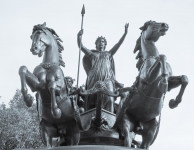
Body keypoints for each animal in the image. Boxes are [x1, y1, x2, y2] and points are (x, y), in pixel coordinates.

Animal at [113, 20, 188, 149]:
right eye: (152, 23)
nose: (165, 25)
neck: (151, 56)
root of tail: (138, 124)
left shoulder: (171, 83)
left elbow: (184, 78)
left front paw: (173, 102)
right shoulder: (147, 78)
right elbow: (162, 57)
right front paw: (163, 83)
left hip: (150, 130)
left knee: (144, 145)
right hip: (126, 123)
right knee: (127, 140)